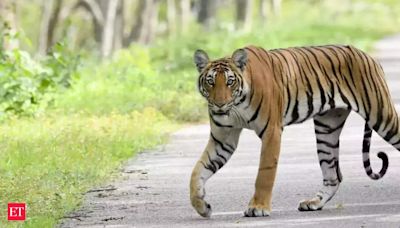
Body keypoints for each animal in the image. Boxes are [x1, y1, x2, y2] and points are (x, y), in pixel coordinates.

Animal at [189, 44, 396, 217]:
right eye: (210, 81)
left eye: (230, 81)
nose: (219, 104)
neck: (237, 105)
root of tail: (368, 56)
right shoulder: (223, 139)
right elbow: (198, 170)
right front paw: (202, 207)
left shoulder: (271, 132)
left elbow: (264, 173)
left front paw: (258, 207)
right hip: (327, 129)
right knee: (334, 175)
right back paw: (314, 203)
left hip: (382, 117)